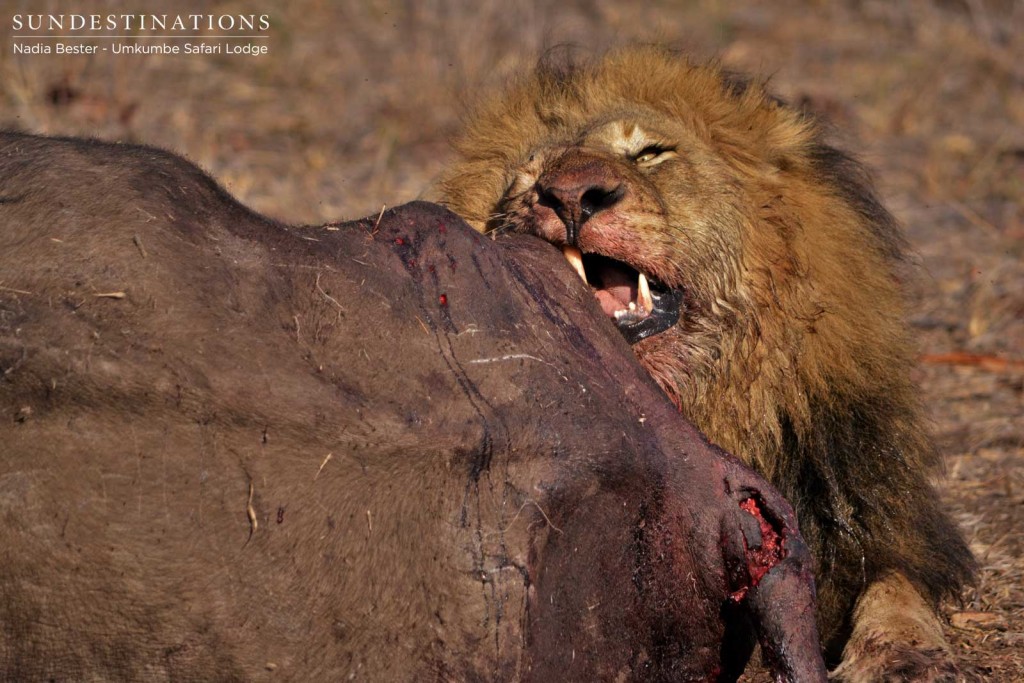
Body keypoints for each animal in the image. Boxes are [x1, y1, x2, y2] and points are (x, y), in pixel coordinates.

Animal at [434, 46, 974, 679]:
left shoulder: (873, 524)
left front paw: (903, 656)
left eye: (650, 153)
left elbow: (894, 586)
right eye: (528, 175)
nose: (568, 196)